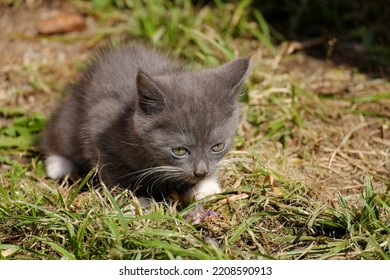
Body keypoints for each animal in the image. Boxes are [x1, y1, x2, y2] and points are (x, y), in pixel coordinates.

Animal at [40, 46, 250, 202]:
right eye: (179, 150)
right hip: (70, 118)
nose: (201, 172)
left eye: (218, 146)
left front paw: (205, 187)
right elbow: (114, 174)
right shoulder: (98, 128)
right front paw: (134, 204)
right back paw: (58, 164)